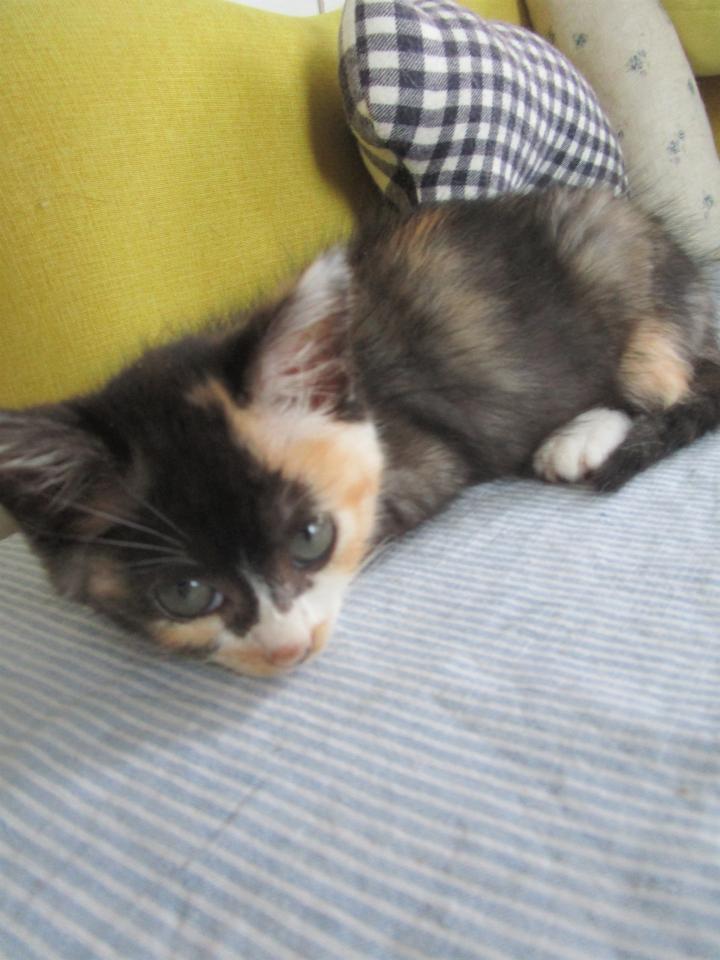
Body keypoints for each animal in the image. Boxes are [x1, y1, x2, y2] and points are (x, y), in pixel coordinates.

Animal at [0, 187, 718, 677]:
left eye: (311, 539)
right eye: (185, 593)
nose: (287, 648)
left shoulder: (424, 458)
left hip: (617, 259)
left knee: (676, 380)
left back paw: (582, 434)